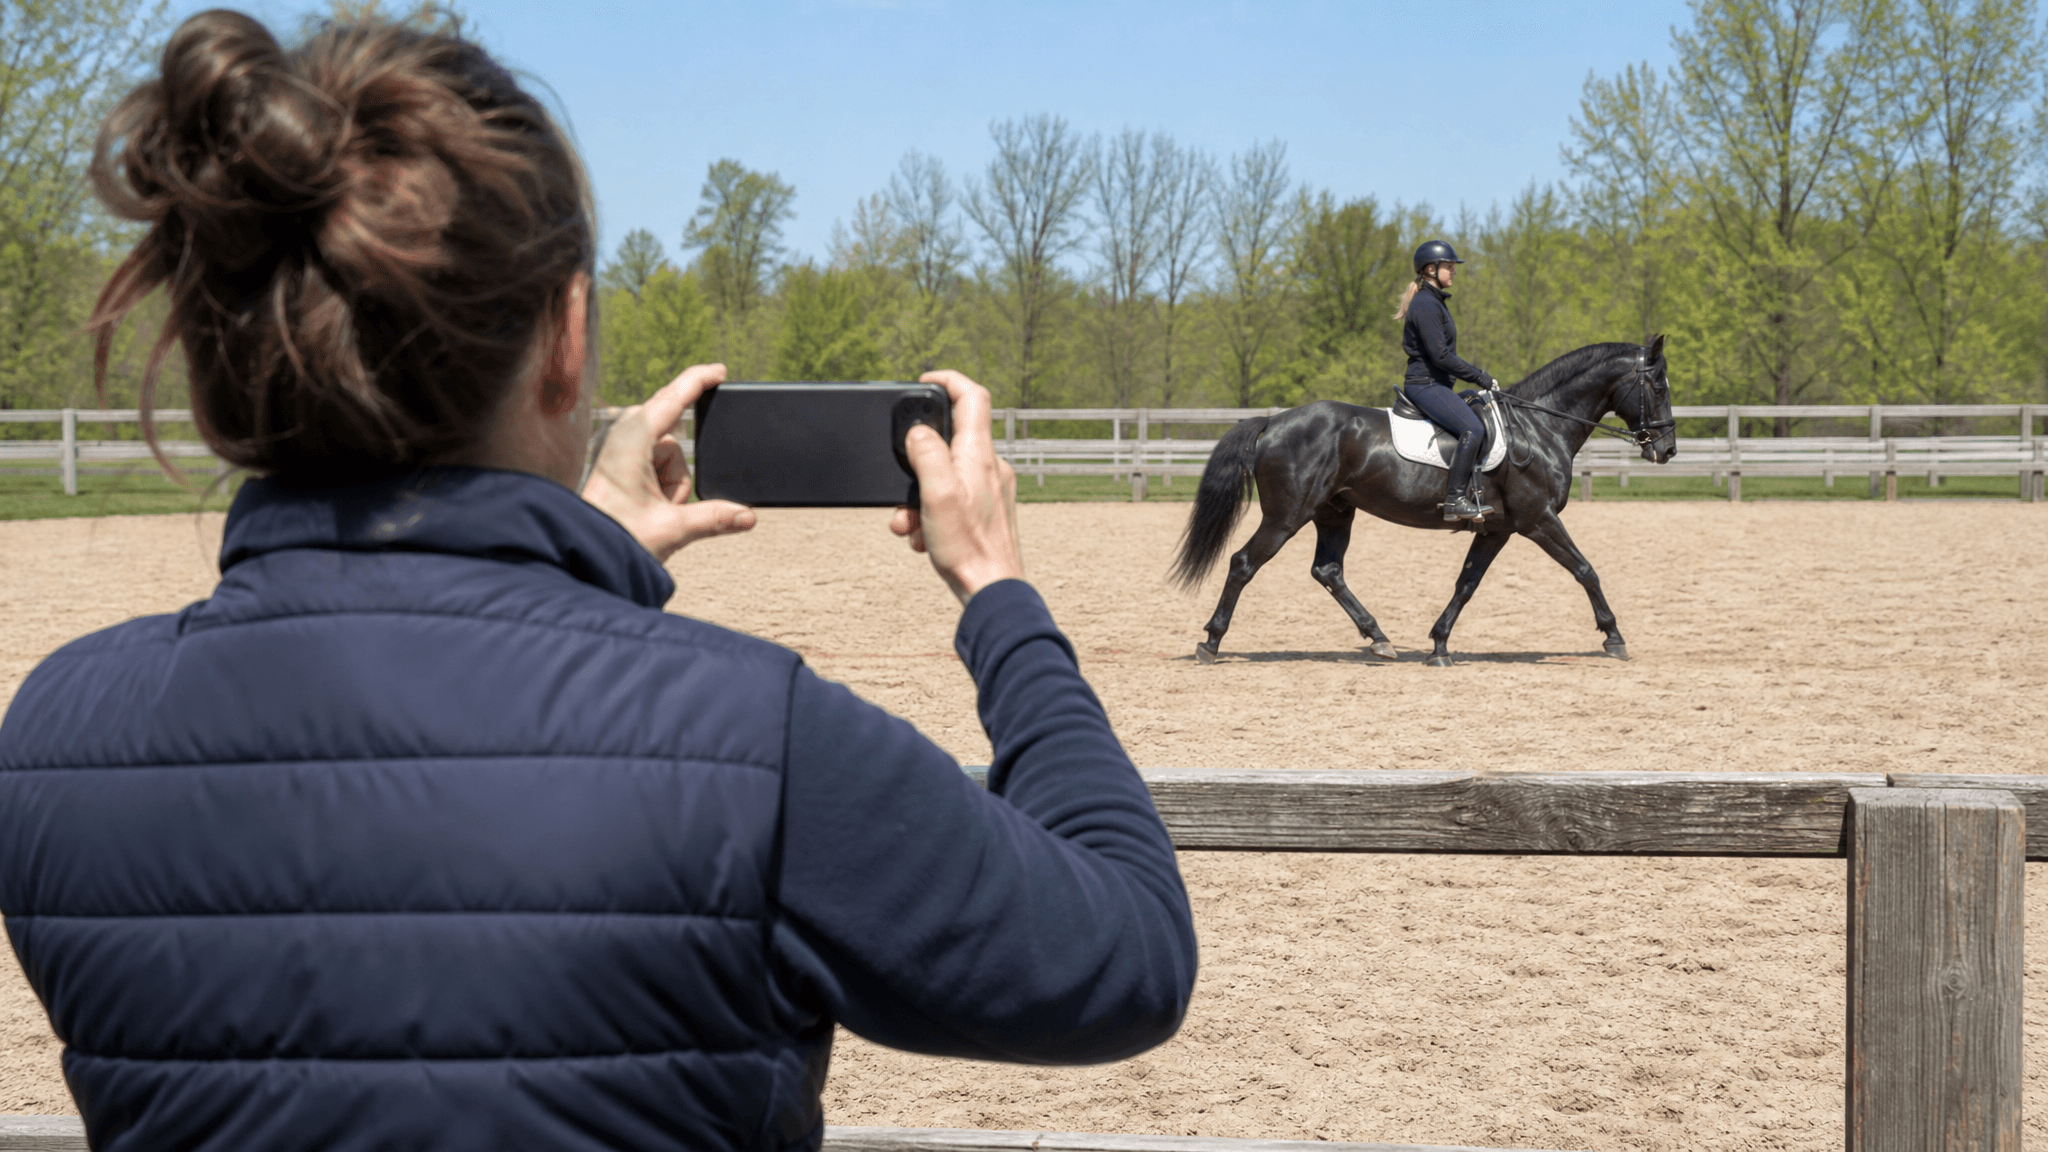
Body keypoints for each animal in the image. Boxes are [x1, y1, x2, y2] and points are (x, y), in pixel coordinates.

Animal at [1172, 336, 1678, 667]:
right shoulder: (1538, 519)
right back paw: (1210, 643)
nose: (1667, 450)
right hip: (1286, 515)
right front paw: (1613, 636)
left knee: (1327, 570)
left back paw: (1379, 639)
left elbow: (1467, 584)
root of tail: (1273, 423)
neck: (1538, 428)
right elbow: (1585, 569)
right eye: (1658, 387)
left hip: (1334, 512)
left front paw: (1438, 645)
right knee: (1243, 564)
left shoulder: (1497, 529)